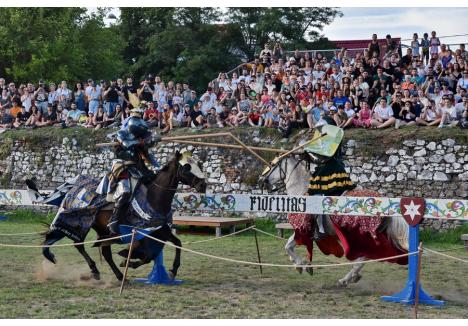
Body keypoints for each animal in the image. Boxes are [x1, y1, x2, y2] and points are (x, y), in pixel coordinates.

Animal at [40, 152, 207, 282]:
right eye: (186, 168)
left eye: (199, 165)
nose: (203, 185)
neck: (153, 198)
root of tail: (72, 188)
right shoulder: (143, 233)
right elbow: (148, 255)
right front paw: (128, 261)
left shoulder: (160, 230)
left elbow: (176, 244)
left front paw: (172, 271)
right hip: (79, 222)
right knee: (79, 244)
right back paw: (96, 270)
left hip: (102, 230)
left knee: (104, 252)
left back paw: (119, 276)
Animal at [258, 155, 408, 286]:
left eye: (272, 164)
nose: (261, 180)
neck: (302, 192)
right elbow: (289, 245)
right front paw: (299, 264)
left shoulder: (302, 229)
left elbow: (288, 246)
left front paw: (301, 266)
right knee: (368, 256)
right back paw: (351, 277)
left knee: (363, 257)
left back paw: (346, 279)